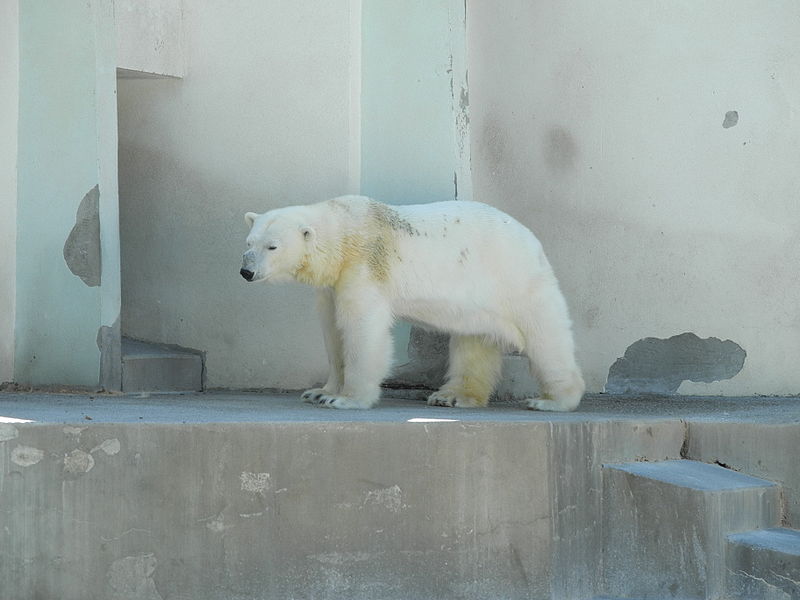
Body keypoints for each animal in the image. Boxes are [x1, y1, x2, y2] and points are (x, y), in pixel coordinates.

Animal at [241, 197, 584, 412]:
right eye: (249, 242)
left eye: (272, 246)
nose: (246, 271)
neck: (347, 232)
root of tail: (533, 241)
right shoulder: (332, 286)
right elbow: (333, 333)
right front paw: (320, 392)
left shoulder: (365, 268)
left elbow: (362, 330)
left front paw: (346, 399)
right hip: (478, 300)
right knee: (473, 341)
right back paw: (452, 396)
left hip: (514, 280)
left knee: (545, 337)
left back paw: (553, 400)